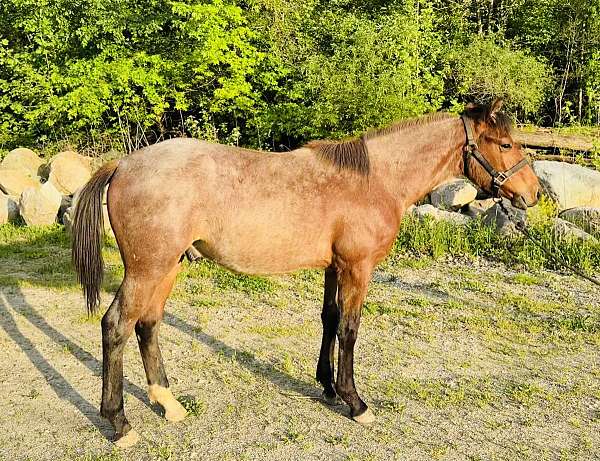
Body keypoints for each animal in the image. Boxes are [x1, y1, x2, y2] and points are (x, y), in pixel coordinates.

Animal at [72, 98, 540, 446]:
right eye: (504, 143)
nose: (534, 194)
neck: (376, 180)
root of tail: (123, 165)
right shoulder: (358, 268)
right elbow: (350, 329)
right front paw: (356, 403)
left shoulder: (335, 267)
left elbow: (329, 320)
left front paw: (328, 387)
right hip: (147, 269)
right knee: (116, 325)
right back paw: (119, 423)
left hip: (166, 267)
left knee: (147, 324)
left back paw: (168, 403)